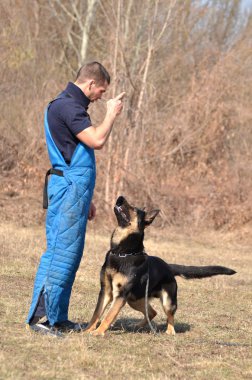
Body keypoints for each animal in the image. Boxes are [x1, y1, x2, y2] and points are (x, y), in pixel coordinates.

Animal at [85, 196, 236, 336]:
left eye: (134, 209)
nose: (120, 198)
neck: (122, 252)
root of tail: (168, 266)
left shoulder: (120, 295)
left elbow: (108, 316)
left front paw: (98, 332)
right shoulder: (106, 292)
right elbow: (96, 314)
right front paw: (87, 330)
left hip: (166, 301)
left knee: (168, 315)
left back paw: (170, 331)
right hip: (134, 299)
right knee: (152, 312)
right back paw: (138, 326)